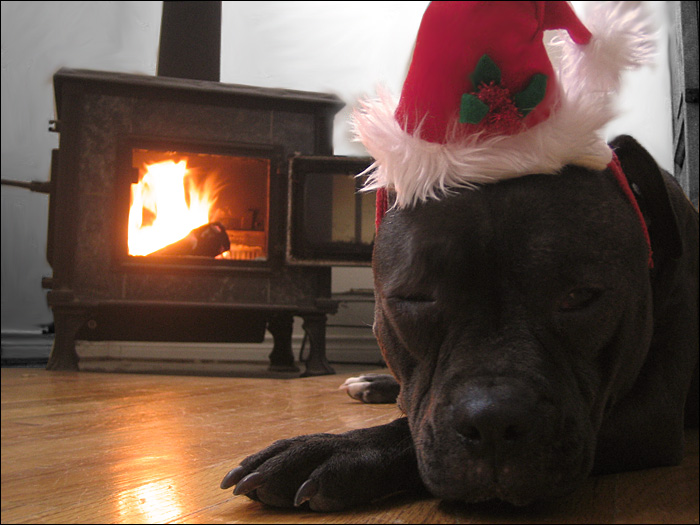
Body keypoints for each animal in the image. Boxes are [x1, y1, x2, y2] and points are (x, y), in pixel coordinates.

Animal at [221, 135, 696, 508]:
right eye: (414, 297)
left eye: (580, 297)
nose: (493, 421)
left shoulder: (648, 414)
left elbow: (409, 434)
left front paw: (335, 451)